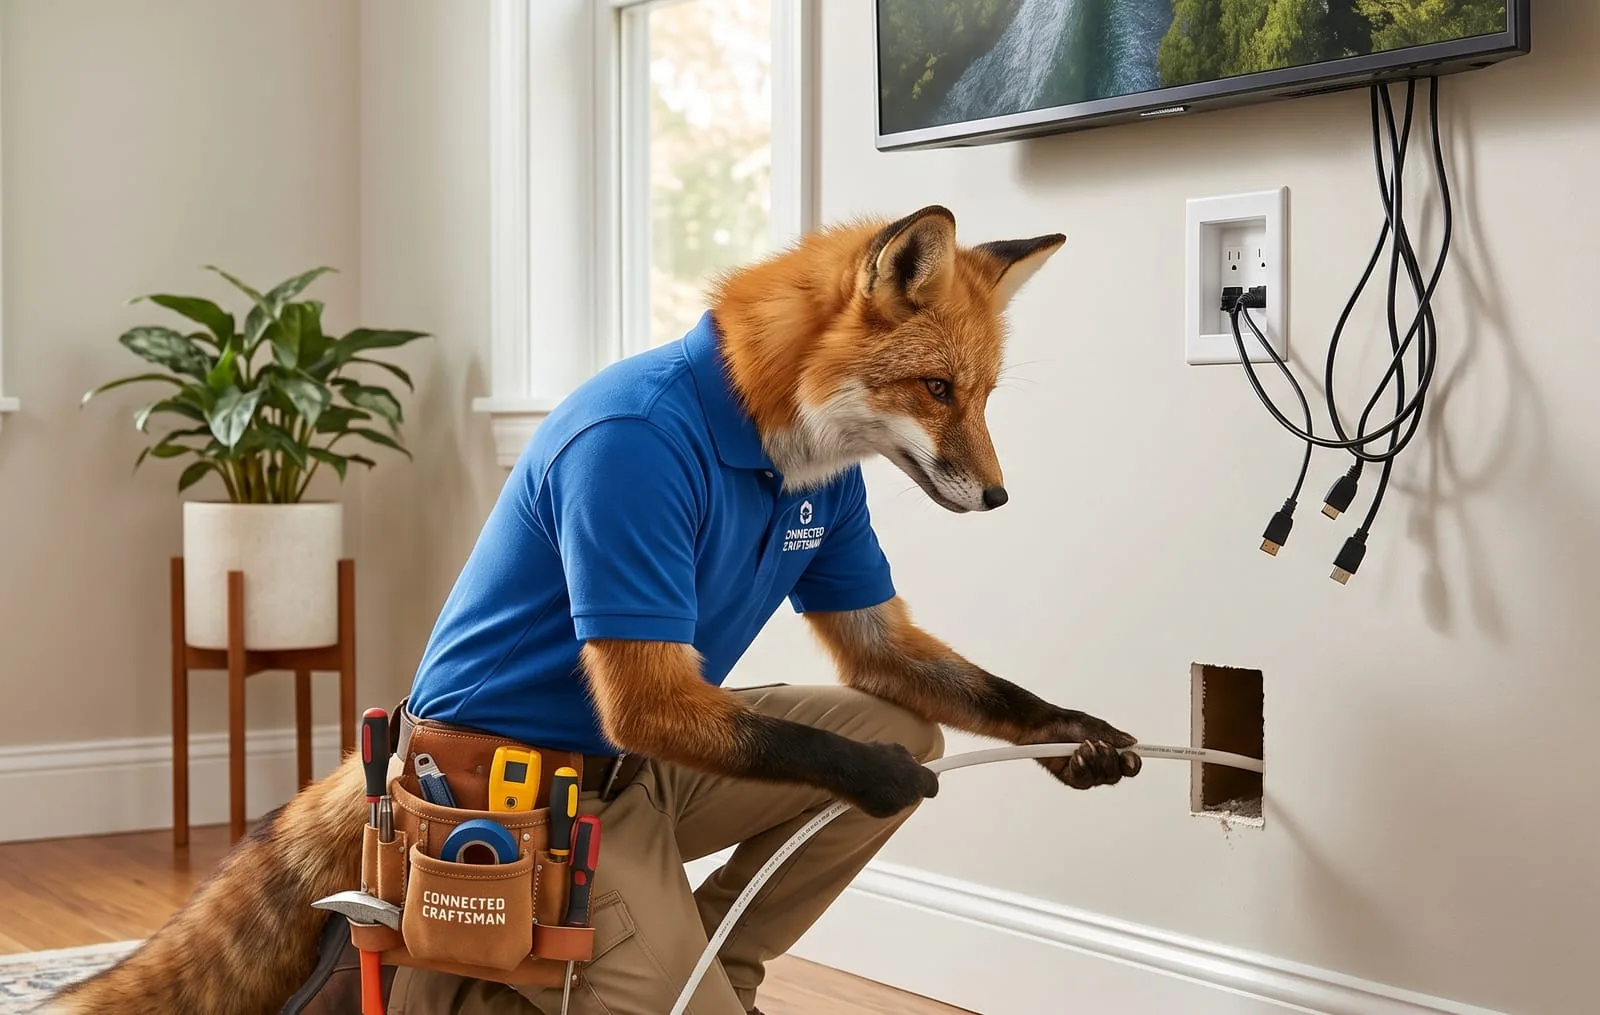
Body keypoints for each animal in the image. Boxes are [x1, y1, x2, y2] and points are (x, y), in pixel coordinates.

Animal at [44, 204, 1138, 1014]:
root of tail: (402, 739)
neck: (761, 430)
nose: (998, 496)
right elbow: (834, 743)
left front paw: (1083, 738)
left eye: (985, 394)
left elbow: (932, 676)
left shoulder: (854, 569)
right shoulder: (621, 481)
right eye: (937, 387)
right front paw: (887, 778)